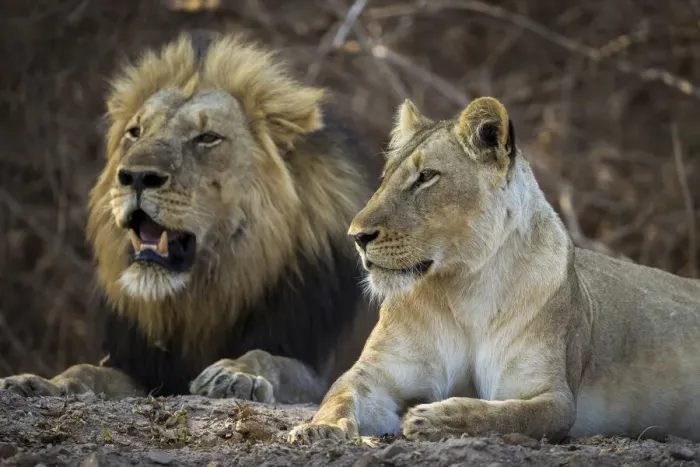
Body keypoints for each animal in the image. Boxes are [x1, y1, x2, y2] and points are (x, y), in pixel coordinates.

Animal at [0, 32, 380, 404]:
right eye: (135, 132)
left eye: (207, 138)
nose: (136, 177)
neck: (198, 298)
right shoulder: (143, 370)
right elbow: (85, 370)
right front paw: (37, 382)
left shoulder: (321, 372)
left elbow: (269, 358)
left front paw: (235, 374)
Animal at [288, 96, 700, 444]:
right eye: (386, 176)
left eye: (426, 177)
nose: (357, 236)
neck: (464, 286)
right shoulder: (379, 373)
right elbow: (339, 395)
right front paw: (317, 429)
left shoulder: (551, 396)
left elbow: (503, 415)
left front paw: (434, 419)